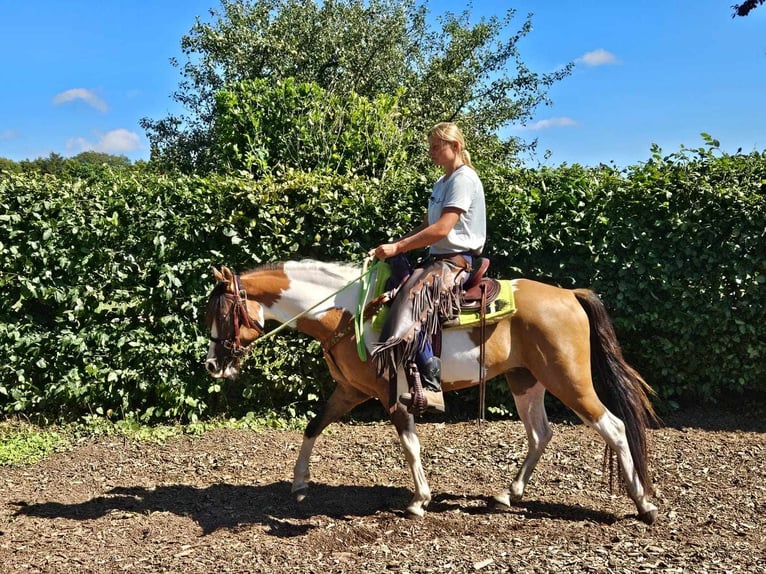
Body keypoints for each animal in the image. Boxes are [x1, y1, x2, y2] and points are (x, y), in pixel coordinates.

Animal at [204, 260, 660, 528]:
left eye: (222, 313)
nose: (211, 365)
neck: (348, 312)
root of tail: (569, 296)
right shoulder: (350, 390)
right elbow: (314, 426)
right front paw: (299, 483)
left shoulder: (391, 395)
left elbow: (410, 446)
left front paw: (419, 500)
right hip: (525, 380)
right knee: (540, 433)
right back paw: (507, 494)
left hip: (570, 380)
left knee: (614, 427)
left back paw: (644, 505)